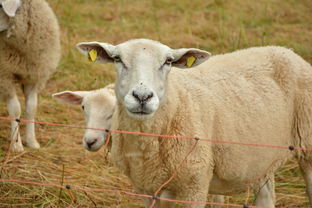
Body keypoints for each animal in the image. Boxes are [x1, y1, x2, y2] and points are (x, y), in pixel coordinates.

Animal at [0, 0, 60, 152]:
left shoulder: (33, 78)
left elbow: (31, 108)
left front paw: (32, 141)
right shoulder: (4, 78)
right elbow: (15, 110)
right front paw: (16, 145)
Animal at [76, 38, 312, 207]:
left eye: (168, 61)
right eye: (117, 59)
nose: (142, 96)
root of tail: (284, 49)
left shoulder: (194, 185)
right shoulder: (148, 188)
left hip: (307, 143)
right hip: (262, 158)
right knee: (266, 196)